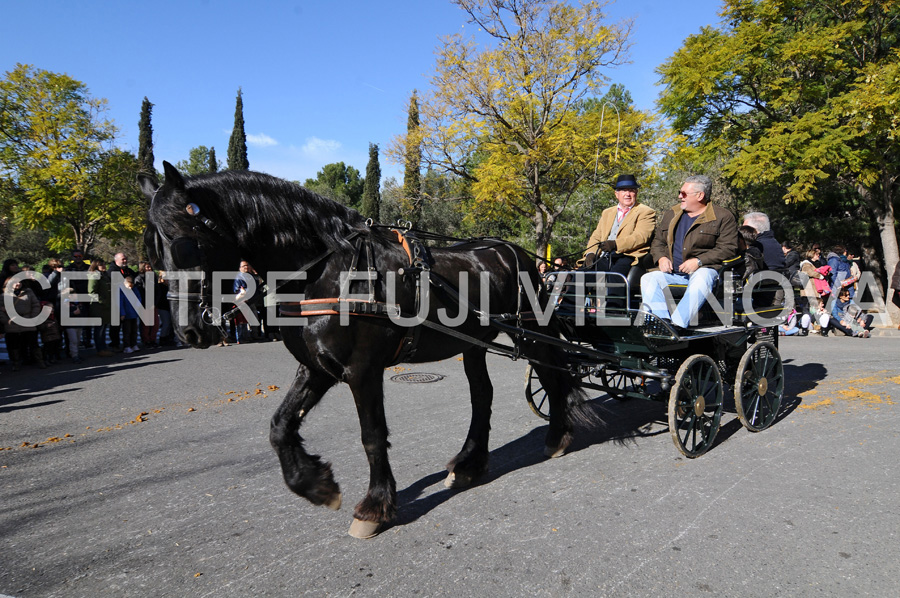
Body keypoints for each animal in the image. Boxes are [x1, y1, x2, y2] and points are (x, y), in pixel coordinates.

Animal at [141, 163, 592, 540]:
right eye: (154, 249)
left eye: (184, 244)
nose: (188, 329)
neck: (330, 271)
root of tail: (514, 251)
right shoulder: (317, 367)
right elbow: (280, 426)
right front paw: (316, 484)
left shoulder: (363, 370)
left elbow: (372, 436)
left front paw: (374, 507)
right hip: (473, 344)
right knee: (483, 396)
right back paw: (469, 463)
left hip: (531, 332)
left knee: (552, 376)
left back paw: (557, 436)